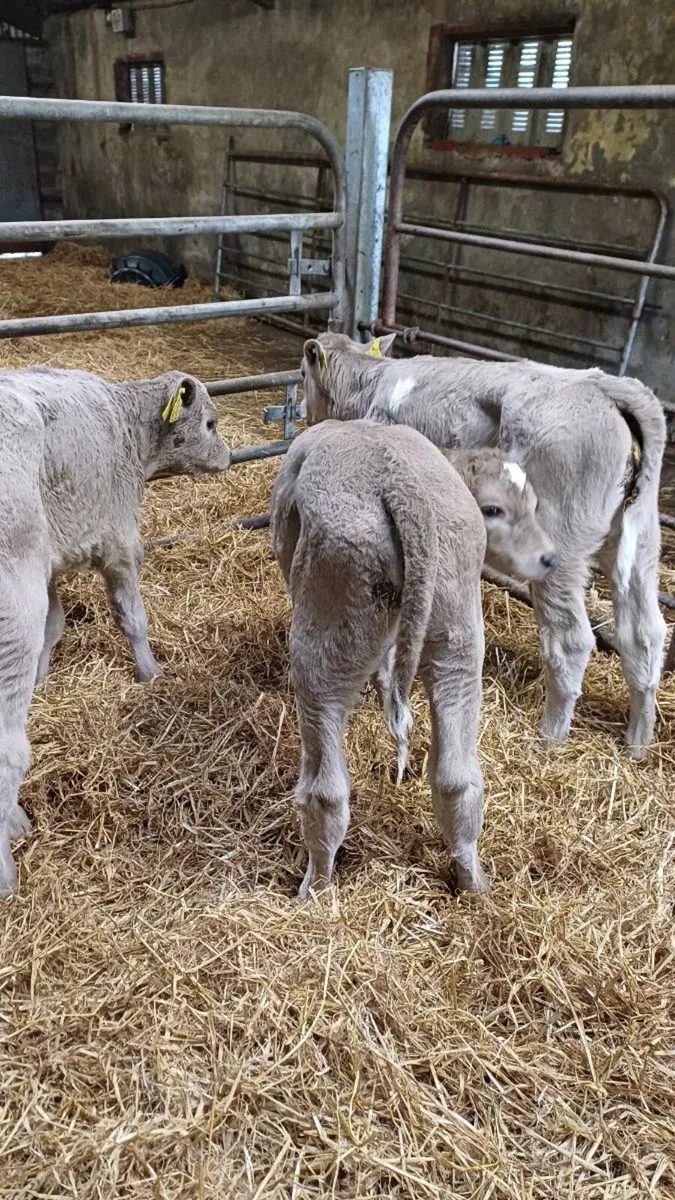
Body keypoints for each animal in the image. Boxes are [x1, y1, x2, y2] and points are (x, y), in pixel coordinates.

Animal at [271, 419, 490, 897]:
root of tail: (401, 486)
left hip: (327, 635)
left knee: (326, 792)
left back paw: (314, 887)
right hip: (457, 632)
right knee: (456, 779)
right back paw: (473, 883)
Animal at [300, 333, 666, 759]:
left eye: (303, 372)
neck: (370, 386)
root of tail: (603, 383)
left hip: (562, 544)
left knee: (571, 638)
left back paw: (549, 737)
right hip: (639, 540)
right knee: (644, 633)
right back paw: (638, 742)